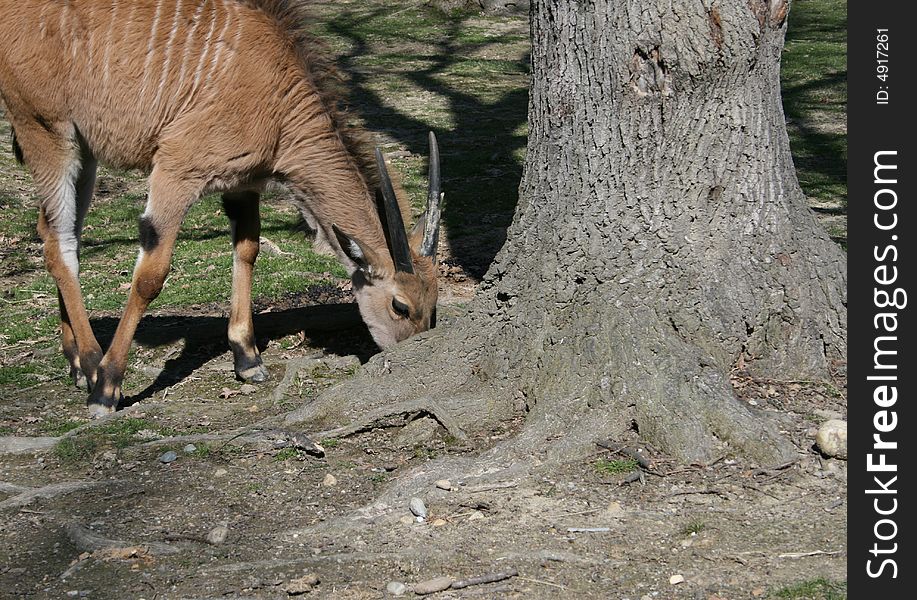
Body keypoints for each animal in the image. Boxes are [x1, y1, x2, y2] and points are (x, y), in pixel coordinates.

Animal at [0, 0, 444, 418]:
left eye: (434, 301)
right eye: (400, 305)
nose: (412, 354)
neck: (278, 91)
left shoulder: (242, 183)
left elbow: (248, 251)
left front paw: (247, 358)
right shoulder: (176, 172)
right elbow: (150, 277)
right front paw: (107, 389)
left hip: (85, 152)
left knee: (58, 232)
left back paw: (76, 362)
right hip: (47, 133)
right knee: (59, 245)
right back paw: (93, 365)